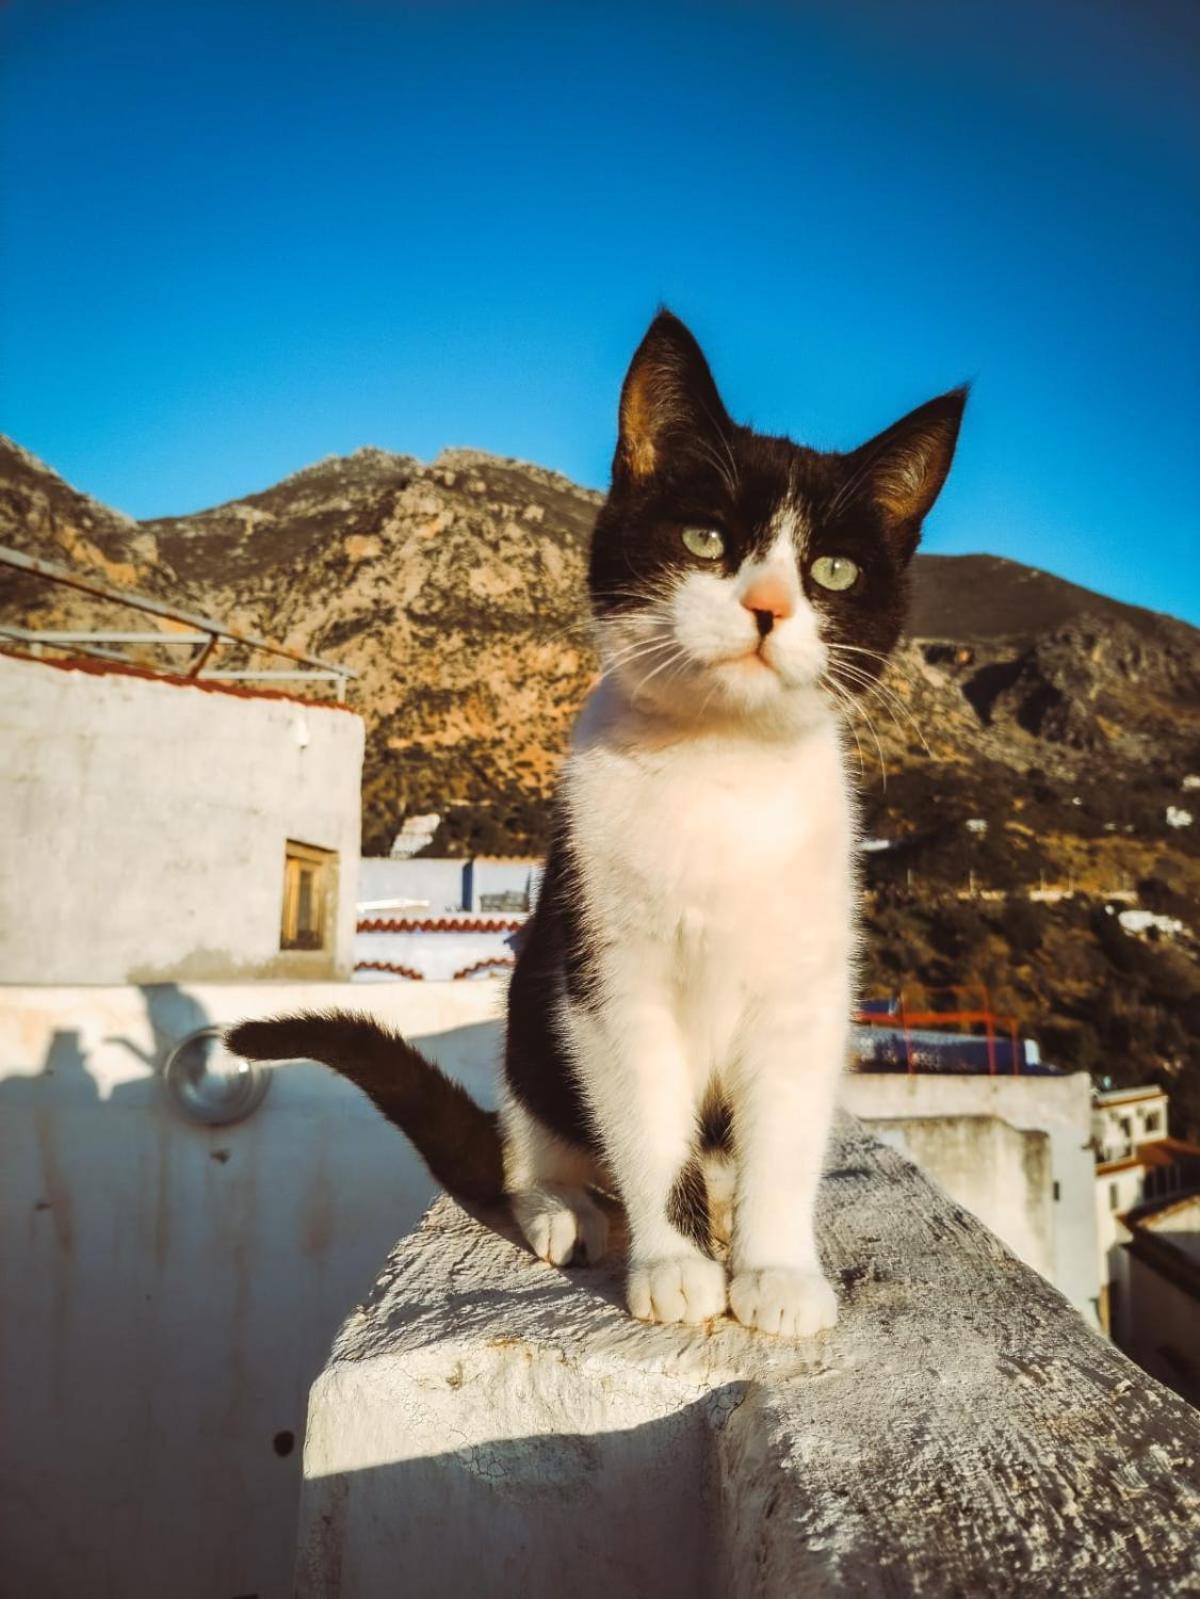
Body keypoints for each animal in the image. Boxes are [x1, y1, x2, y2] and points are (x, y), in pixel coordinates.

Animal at [227, 311, 966, 1336]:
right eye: (703, 537)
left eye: (832, 570)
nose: (768, 607)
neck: (719, 768)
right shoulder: (607, 973)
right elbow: (649, 1126)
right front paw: (677, 1264)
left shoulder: (805, 983)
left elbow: (784, 1134)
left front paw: (775, 1268)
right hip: (535, 1007)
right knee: (534, 1144)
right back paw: (565, 1205)